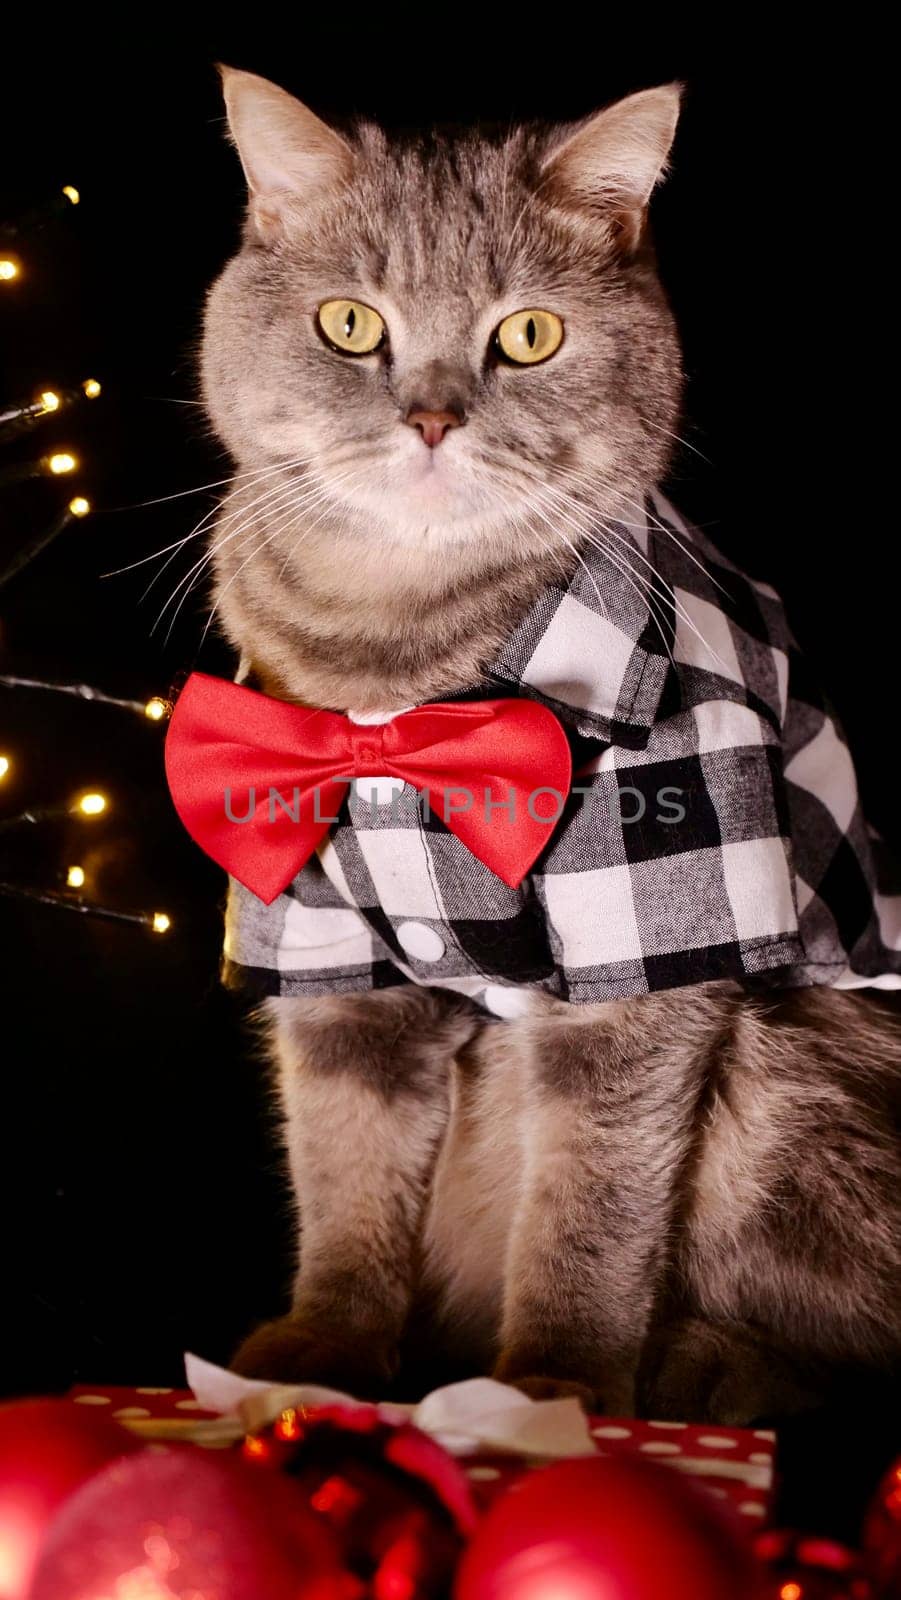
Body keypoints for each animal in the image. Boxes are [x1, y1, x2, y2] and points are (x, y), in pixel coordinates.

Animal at [199, 68, 901, 1427]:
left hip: (794, 1061)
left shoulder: (651, 941)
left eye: (527, 336)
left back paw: (712, 1367)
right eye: (349, 324)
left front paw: (552, 1382)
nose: (429, 416)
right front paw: (326, 1340)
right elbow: (345, 1158)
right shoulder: (313, 928)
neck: (399, 673)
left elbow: (591, 1194)